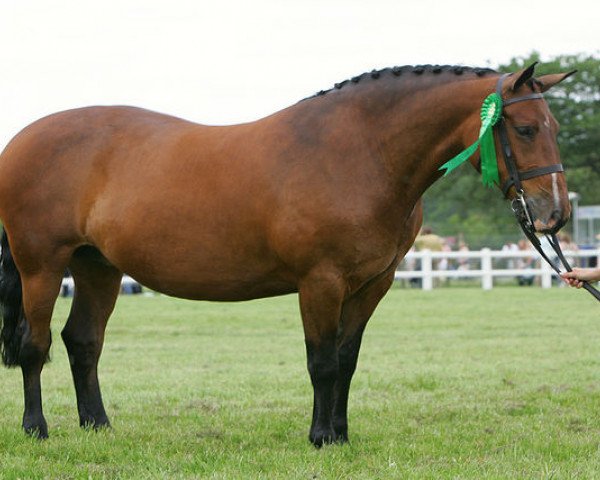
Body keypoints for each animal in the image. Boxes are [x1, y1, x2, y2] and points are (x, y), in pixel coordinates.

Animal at [0, 62, 572, 444]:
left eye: (555, 128)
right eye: (524, 129)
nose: (556, 214)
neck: (359, 153)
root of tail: (22, 139)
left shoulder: (373, 284)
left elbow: (346, 359)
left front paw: (341, 433)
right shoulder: (320, 281)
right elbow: (321, 361)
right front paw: (320, 438)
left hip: (97, 267)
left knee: (83, 341)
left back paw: (97, 425)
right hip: (41, 266)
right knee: (35, 344)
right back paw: (37, 429)